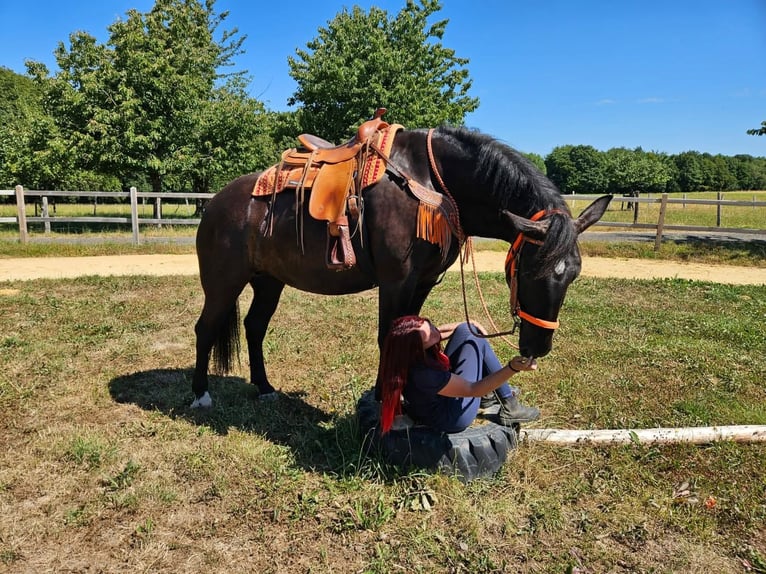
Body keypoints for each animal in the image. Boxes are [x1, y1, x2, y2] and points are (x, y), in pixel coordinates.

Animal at [191, 125, 611, 408]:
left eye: (573, 274)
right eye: (527, 271)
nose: (538, 346)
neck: (434, 186)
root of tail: (215, 203)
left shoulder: (422, 282)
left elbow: (411, 334)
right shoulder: (396, 281)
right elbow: (388, 337)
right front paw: (383, 400)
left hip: (269, 281)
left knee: (254, 327)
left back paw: (263, 388)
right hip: (223, 282)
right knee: (206, 328)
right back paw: (200, 395)